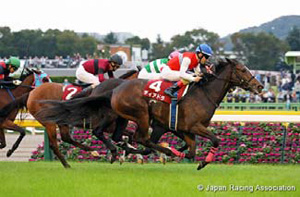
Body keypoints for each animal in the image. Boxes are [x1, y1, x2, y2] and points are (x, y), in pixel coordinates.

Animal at [0, 69, 139, 168]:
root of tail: (31, 93)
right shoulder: (107, 126)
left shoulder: (111, 126)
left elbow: (130, 135)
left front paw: (130, 155)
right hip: (49, 122)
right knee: (55, 145)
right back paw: (67, 164)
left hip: (61, 122)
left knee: (66, 138)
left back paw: (91, 151)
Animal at [37, 58, 262, 169]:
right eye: (242, 69)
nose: (259, 86)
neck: (203, 93)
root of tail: (115, 89)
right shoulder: (193, 126)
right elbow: (214, 140)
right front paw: (202, 162)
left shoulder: (183, 129)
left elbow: (191, 150)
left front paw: (182, 154)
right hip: (139, 115)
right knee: (138, 137)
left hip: (124, 118)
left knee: (127, 138)